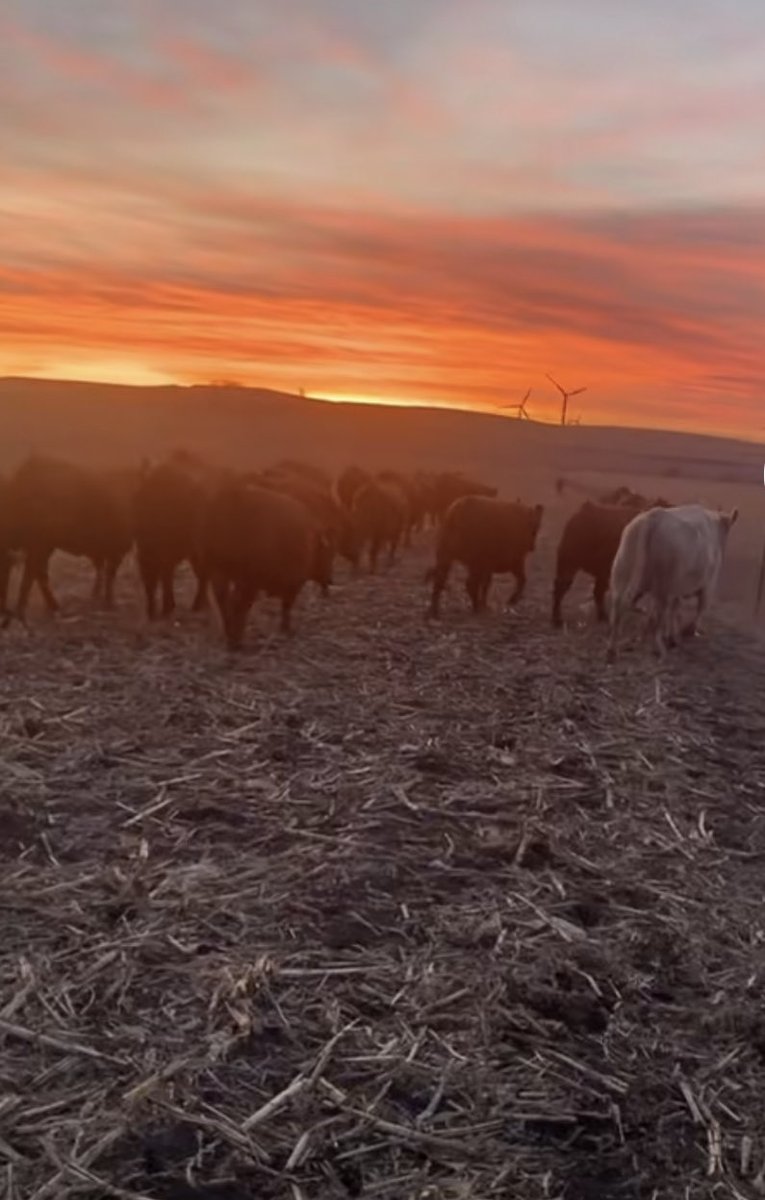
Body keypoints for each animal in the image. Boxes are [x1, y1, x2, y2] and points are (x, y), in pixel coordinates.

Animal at [5, 456, 134, 618]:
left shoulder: (106, 550)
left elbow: (102, 571)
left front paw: (98, 596)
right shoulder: (115, 549)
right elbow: (109, 575)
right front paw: (109, 602)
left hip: (44, 546)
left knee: (37, 572)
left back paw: (49, 606)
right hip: (40, 545)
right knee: (33, 573)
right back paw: (34, 607)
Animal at [203, 479, 329, 650]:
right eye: (326, 556)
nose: (329, 581)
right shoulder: (293, 583)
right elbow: (286, 607)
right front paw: (286, 629)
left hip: (220, 572)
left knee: (224, 601)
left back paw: (231, 637)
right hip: (245, 579)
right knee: (238, 604)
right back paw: (236, 640)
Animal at [607, 503, 739, 662]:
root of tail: (652, 517)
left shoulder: (677, 589)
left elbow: (674, 609)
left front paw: (671, 636)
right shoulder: (708, 585)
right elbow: (700, 608)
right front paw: (689, 631)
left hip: (622, 573)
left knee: (618, 609)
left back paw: (613, 649)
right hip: (663, 587)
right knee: (657, 617)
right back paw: (659, 649)